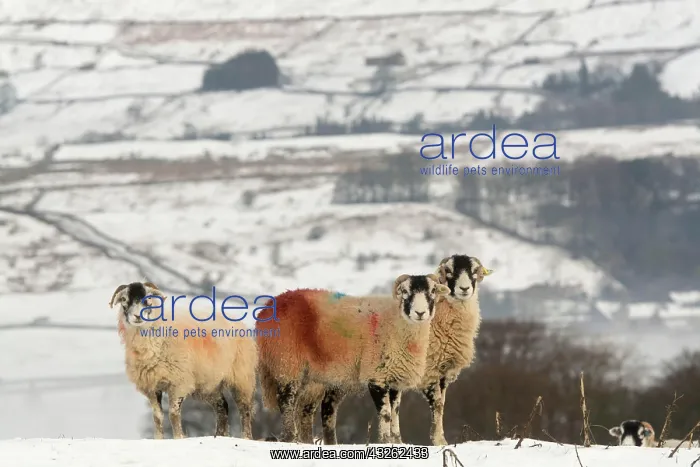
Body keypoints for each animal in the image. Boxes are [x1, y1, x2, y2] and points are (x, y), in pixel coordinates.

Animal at [109, 281, 257, 439]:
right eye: (124, 299)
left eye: (148, 298)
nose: (137, 316)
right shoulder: (152, 386)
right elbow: (157, 416)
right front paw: (158, 439)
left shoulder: (179, 382)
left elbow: (173, 414)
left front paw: (178, 438)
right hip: (208, 384)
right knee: (222, 407)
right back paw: (219, 436)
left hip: (242, 377)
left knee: (244, 409)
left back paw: (246, 437)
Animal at [255, 273, 450, 443]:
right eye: (405, 291)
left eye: (433, 291)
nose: (420, 313)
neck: (396, 322)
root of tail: (269, 305)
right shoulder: (376, 376)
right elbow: (386, 413)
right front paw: (385, 442)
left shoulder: (394, 378)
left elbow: (395, 412)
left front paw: (398, 442)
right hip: (287, 363)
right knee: (286, 401)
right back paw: (290, 437)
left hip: (317, 378)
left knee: (314, 409)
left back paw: (312, 442)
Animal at [297, 254, 493, 445]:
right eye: (449, 271)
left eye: (474, 271)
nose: (464, 289)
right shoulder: (426, 373)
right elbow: (436, 404)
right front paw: (438, 440)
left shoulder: (439, 373)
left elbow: (436, 405)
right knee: (308, 407)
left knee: (325, 406)